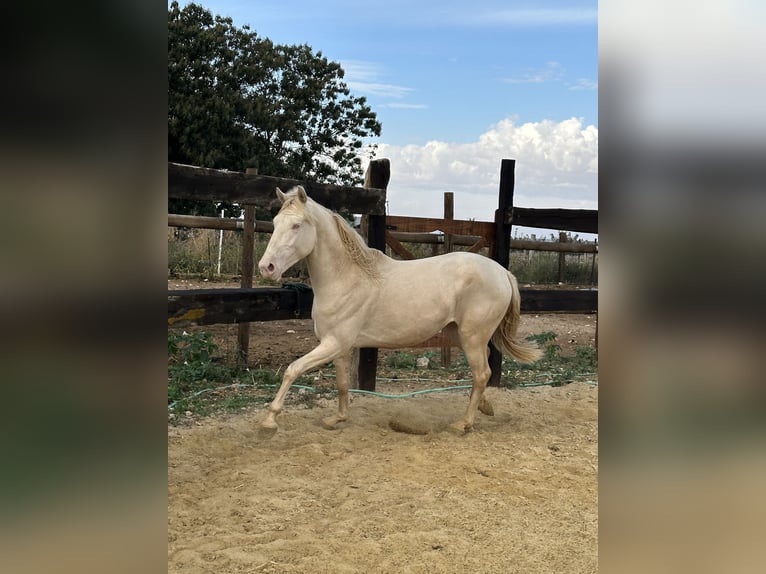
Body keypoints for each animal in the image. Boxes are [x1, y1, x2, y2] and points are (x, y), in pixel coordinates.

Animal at [258, 187, 540, 434]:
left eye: (296, 225)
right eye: (275, 222)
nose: (266, 267)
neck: (346, 278)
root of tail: (502, 272)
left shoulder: (334, 343)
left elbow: (293, 369)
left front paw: (269, 422)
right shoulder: (339, 346)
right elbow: (342, 384)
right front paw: (337, 419)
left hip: (472, 336)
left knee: (482, 373)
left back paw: (463, 424)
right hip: (458, 334)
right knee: (483, 369)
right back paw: (484, 407)